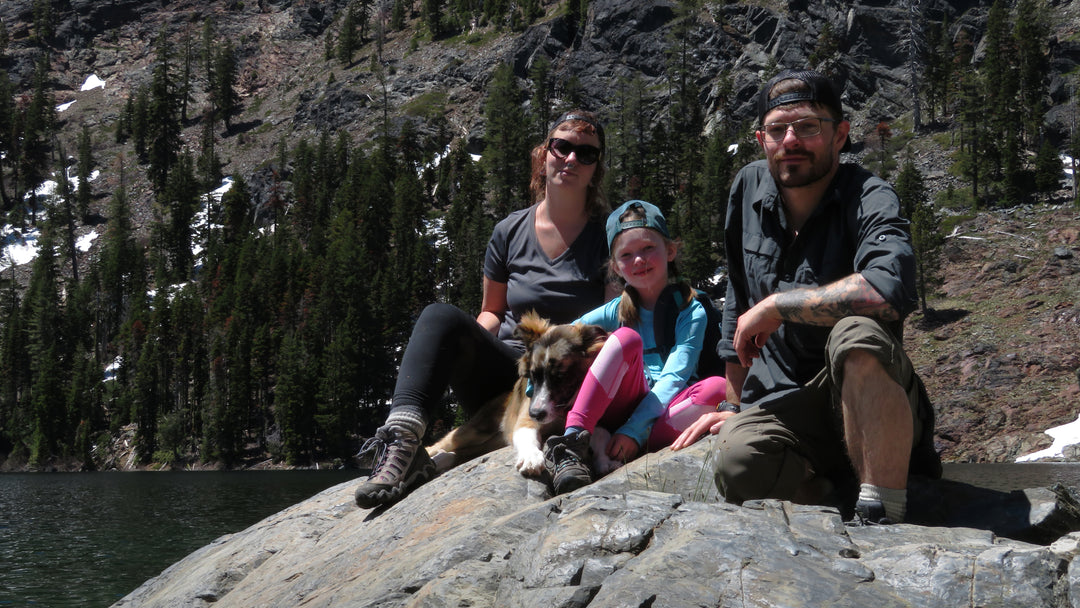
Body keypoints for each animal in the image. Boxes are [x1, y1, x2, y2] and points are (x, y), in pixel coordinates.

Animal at [423, 311, 609, 477]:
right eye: (533, 376)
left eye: (560, 376)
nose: (535, 413)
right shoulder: (524, 421)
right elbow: (527, 436)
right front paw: (531, 458)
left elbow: (600, 434)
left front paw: (604, 460)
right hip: (474, 431)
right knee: (438, 446)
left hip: (490, 443)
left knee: (461, 453)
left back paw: (441, 461)